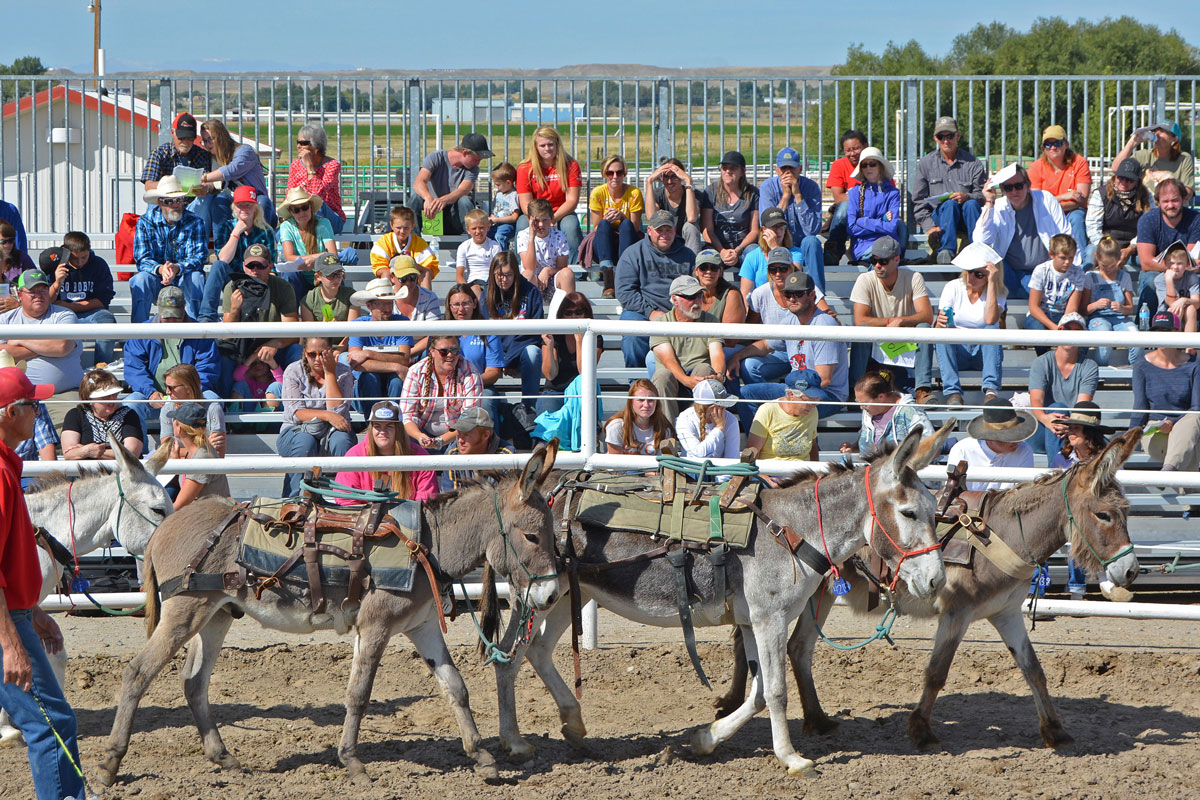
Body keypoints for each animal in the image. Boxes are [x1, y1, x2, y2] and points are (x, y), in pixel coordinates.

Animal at [97, 440, 563, 786]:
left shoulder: (424, 627)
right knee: (138, 672)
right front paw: (353, 763)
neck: (427, 546)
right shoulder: (375, 627)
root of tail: (165, 527)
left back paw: (223, 756)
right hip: (186, 612)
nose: (551, 595)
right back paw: (110, 764)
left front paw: (482, 755)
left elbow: (456, 688)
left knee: (194, 681)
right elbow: (358, 694)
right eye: (533, 536)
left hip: (218, 615)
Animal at [480, 424, 954, 776]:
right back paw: (514, 743)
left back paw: (574, 724)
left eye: (935, 509)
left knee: (537, 651)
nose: (936, 580)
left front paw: (703, 741)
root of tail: (536, 490)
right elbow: (776, 690)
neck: (792, 530)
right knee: (507, 657)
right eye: (909, 513)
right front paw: (792, 759)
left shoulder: (751, 622)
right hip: (535, 594)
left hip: (563, 597)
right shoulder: (769, 619)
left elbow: (759, 693)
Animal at [714, 427, 1142, 750]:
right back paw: (733, 703)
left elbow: (1033, 670)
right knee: (757, 641)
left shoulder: (1005, 613)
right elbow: (937, 672)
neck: (1002, 534)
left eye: (1127, 513)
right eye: (1104, 515)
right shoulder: (957, 613)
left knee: (796, 648)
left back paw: (816, 720)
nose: (1132, 571)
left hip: (817, 595)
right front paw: (920, 730)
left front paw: (1055, 730)